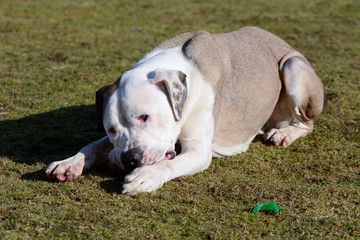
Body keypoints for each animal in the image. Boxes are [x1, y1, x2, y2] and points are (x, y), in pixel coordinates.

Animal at [44, 26, 324, 195]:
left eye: (144, 117)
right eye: (111, 129)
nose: (130, 159)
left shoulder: (199, 151)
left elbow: (172, 164)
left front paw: (146, 176)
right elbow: (94, 145)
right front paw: (70, 163)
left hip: (293, 66)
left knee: (306, 123)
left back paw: (284, 134)